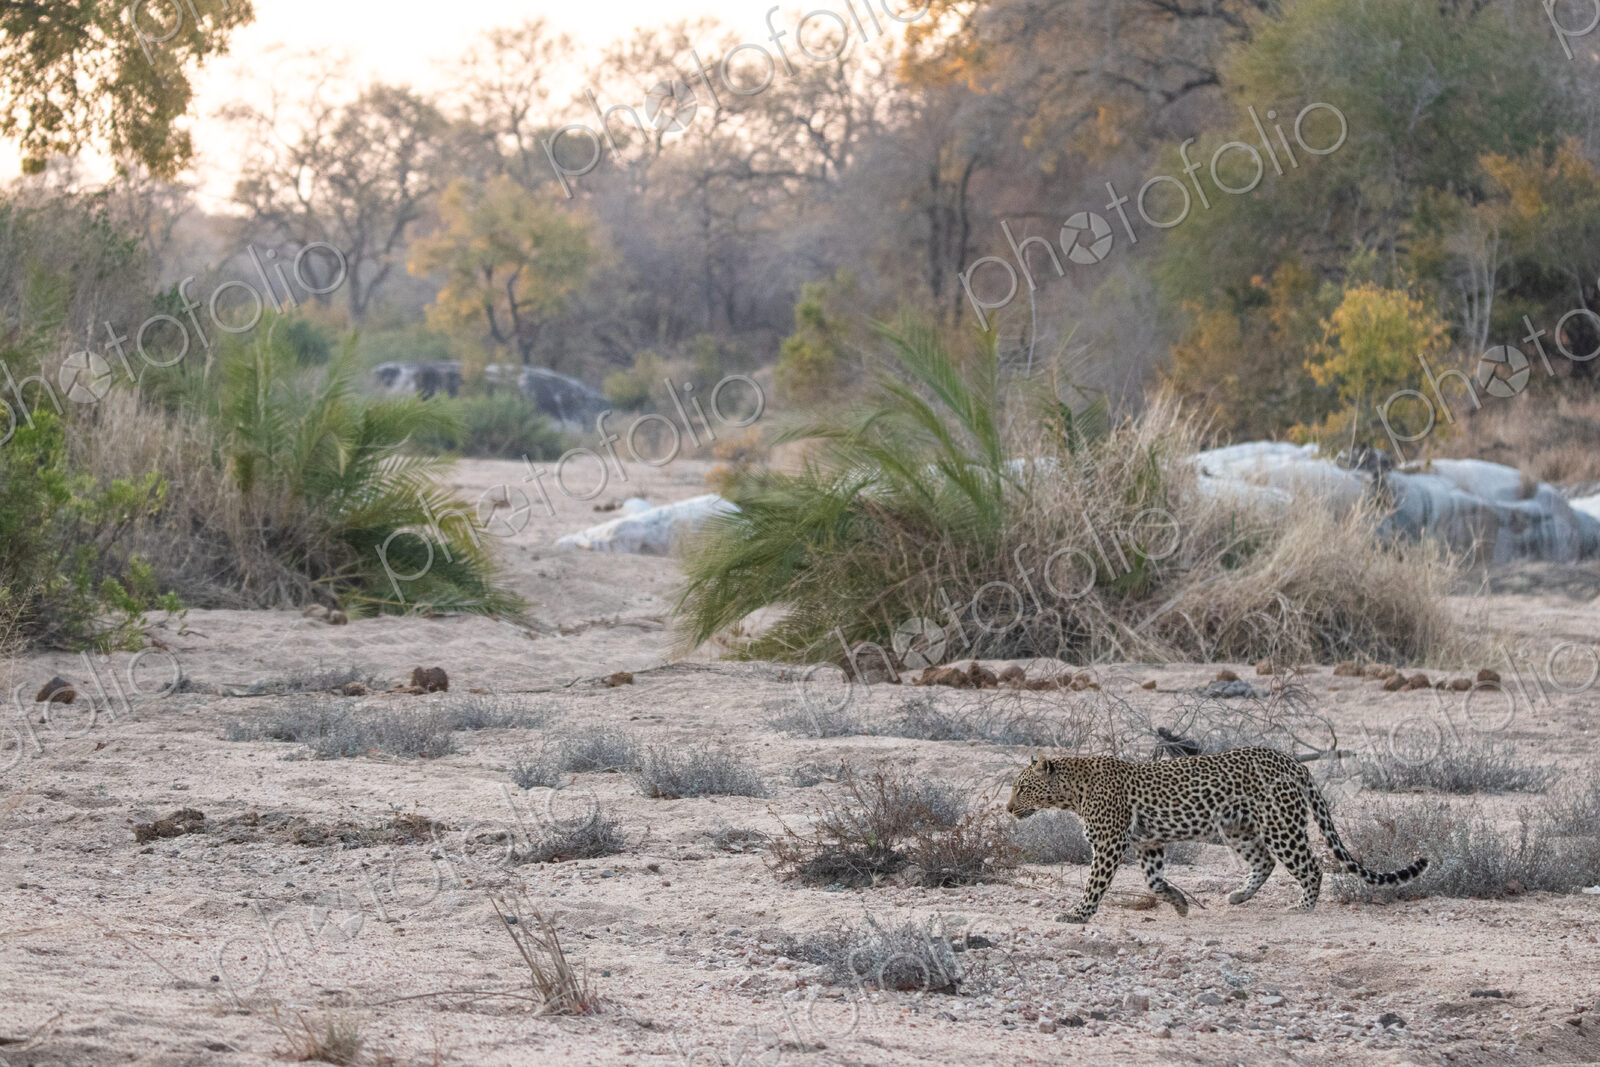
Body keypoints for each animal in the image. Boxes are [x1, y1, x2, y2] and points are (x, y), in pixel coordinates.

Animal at [1006, 747, 1428, 923]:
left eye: (1022, 788)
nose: (1008, 809)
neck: (1072, 792)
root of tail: (1294, 763)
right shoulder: (1149, 843)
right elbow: (1154, 882)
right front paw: (1180, 904)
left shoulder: (1110, 843)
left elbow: (1094, 884)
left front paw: (1077, 915)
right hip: (1239, 828)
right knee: (1265, 861)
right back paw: (1239, 895)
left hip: (1281, 825)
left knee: (1310, 867)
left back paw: (1302, 907)